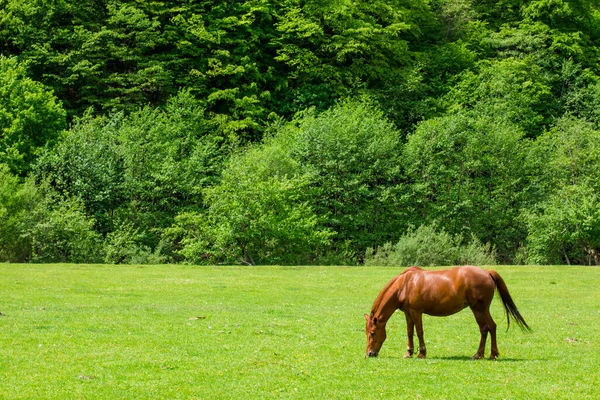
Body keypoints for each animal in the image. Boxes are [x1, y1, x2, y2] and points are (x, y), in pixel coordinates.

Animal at [366, 266, 528, 360]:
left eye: (372, 333)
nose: (369, 354)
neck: (404, 285)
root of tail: (487, 273)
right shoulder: (408, 313)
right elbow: (410, 333)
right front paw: (409, 353)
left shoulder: (416, 312)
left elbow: (419, 332)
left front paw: (421, 353)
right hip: (483, 310)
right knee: (492, 327)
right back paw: (493, 354)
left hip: (478, 309)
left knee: (484, 329)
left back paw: (478, 354)